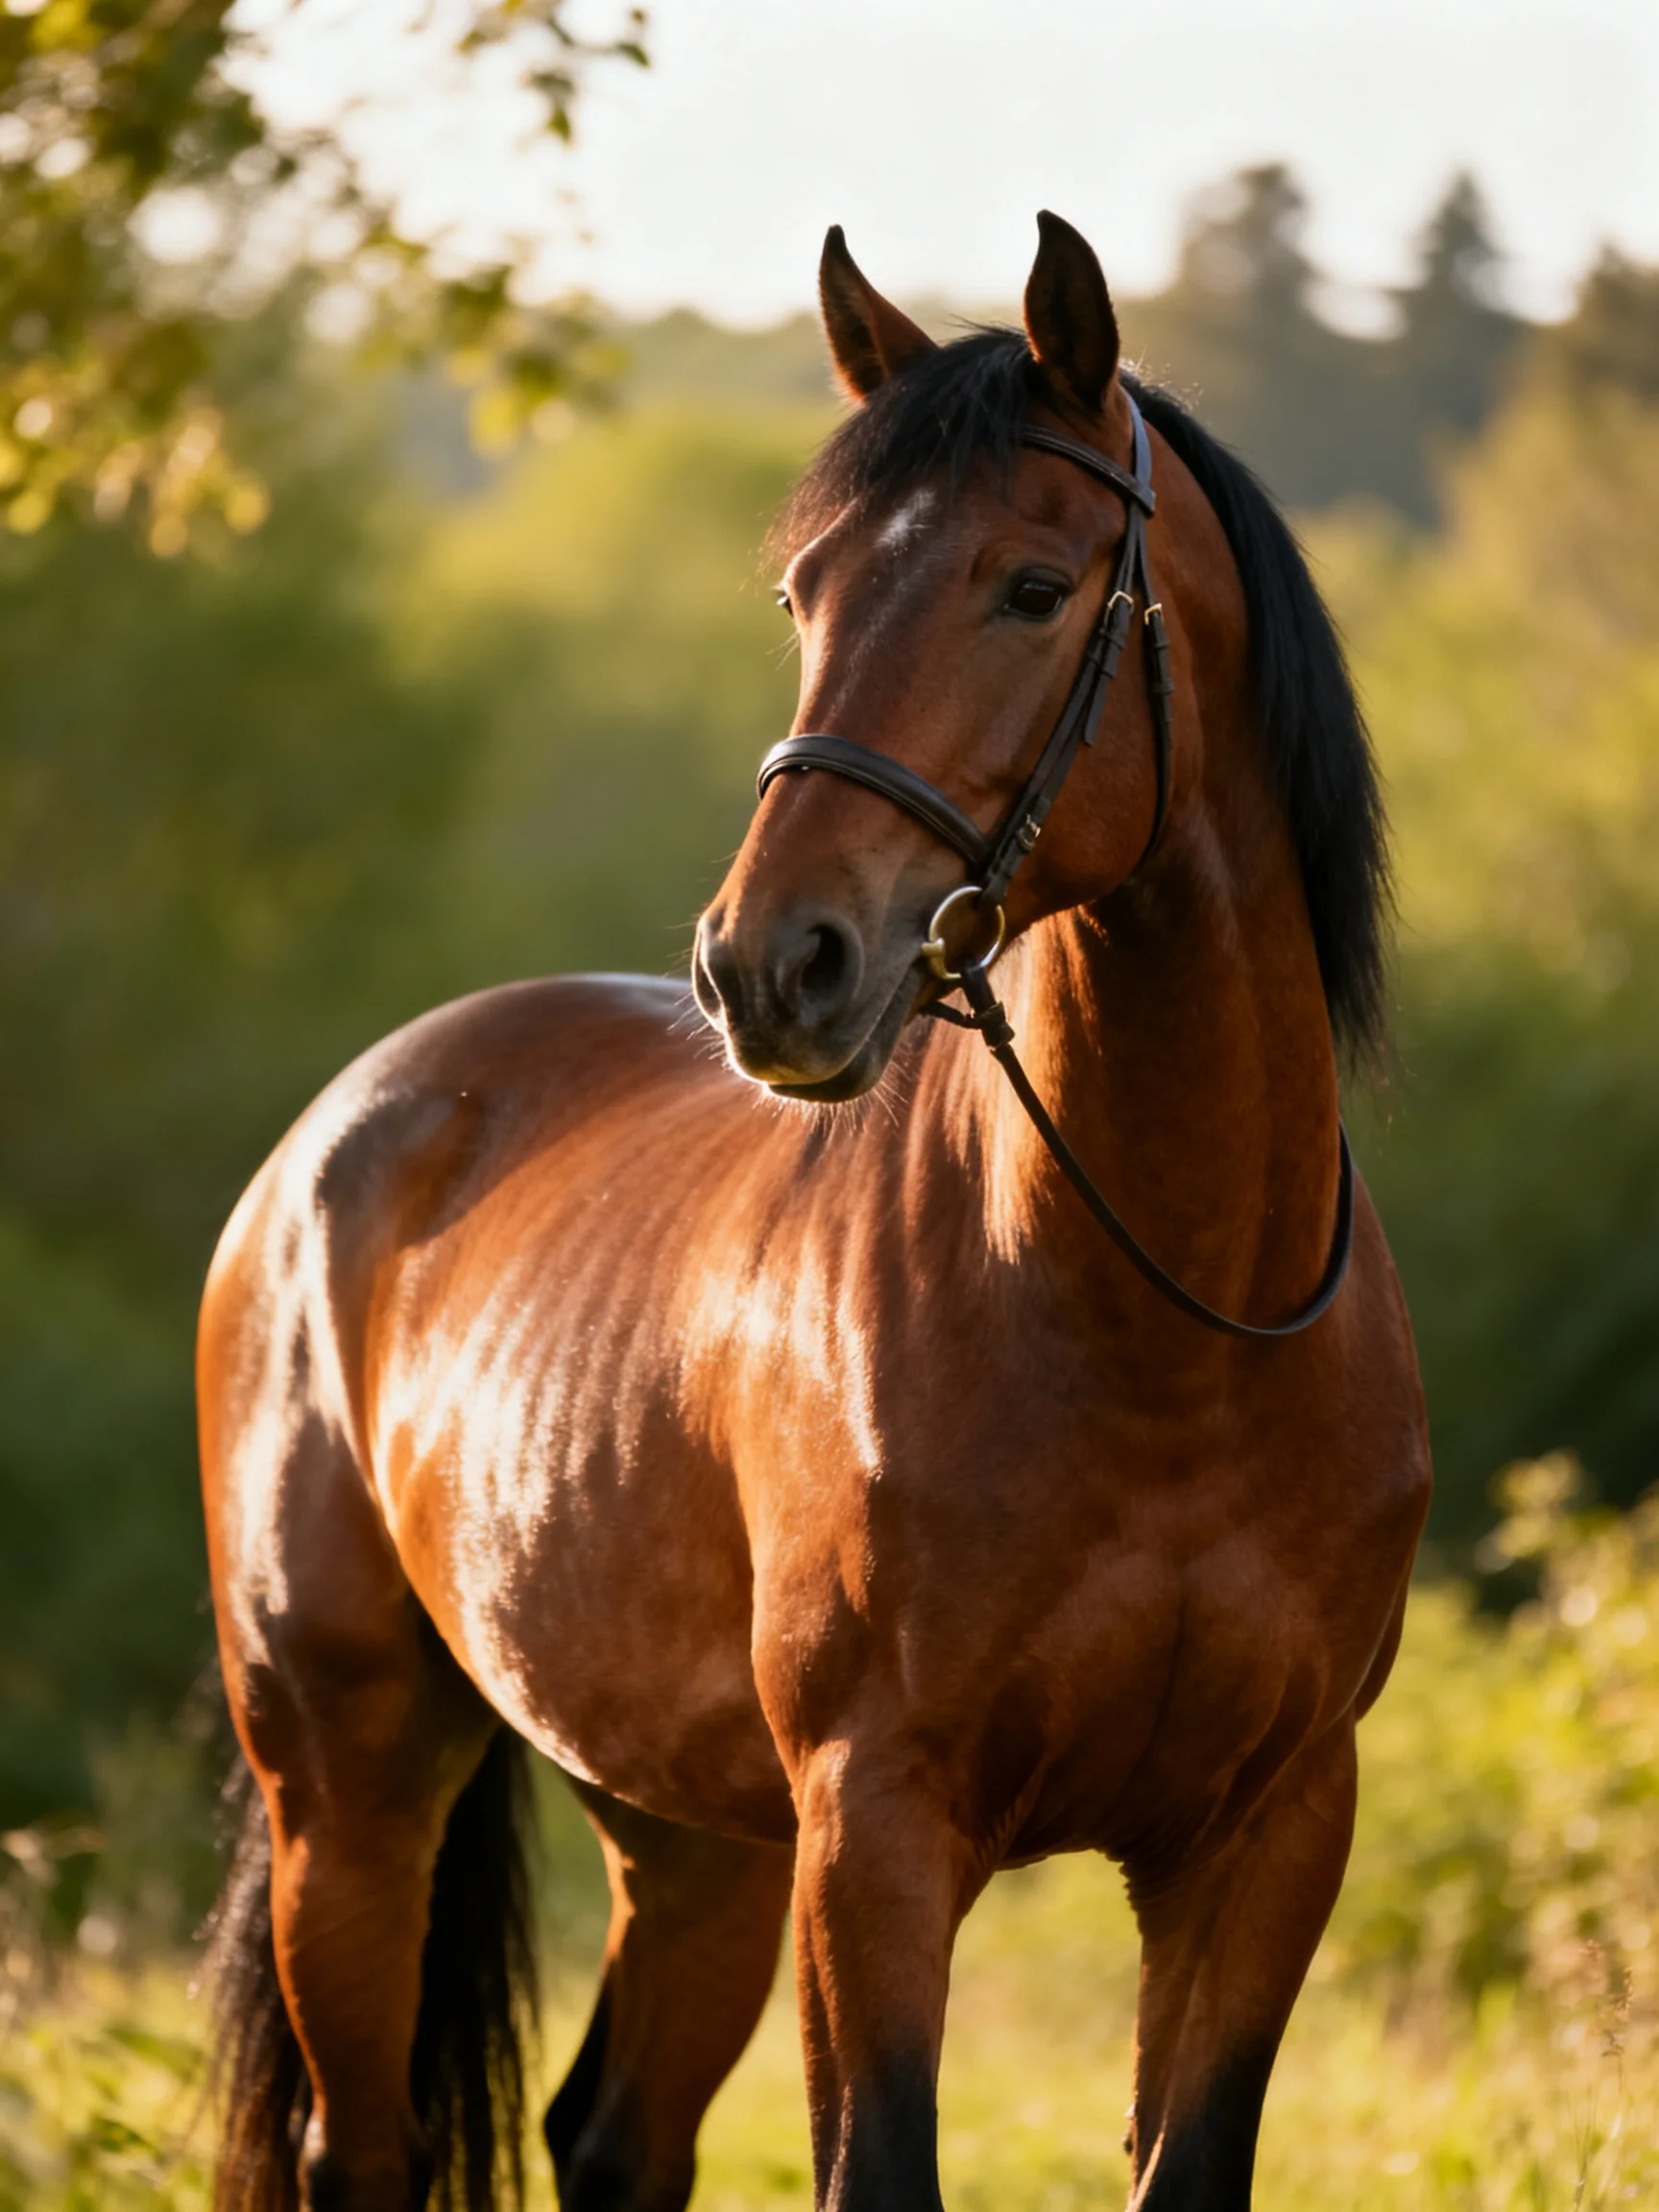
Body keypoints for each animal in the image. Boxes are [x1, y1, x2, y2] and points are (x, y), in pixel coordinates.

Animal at [198, 211, 1430, 2212]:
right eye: (804, 595)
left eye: (1031, 584)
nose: (768, 965)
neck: (1168, 1322)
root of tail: (341, 1130)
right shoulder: (880, 1822)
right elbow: (881, 2162)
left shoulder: (1264, 1833)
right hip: (351, 1785)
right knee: (357, 2140)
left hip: (691, 1826)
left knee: (613, 2132)